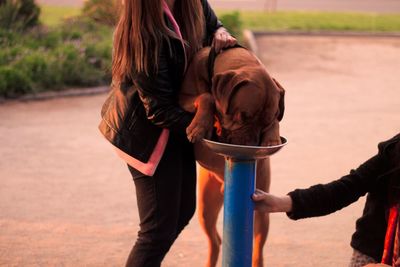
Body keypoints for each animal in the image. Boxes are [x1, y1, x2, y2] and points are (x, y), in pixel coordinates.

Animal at [178, 46, 284, 267]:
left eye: (265, 122)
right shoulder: (182, 96)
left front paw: (272, 138)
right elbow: (207, 96)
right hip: (205, 209)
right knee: (216, 241)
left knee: (257, 248)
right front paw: (199, 126)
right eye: (242, 115)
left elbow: (276, 121)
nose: (252, 146)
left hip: (261, 211)